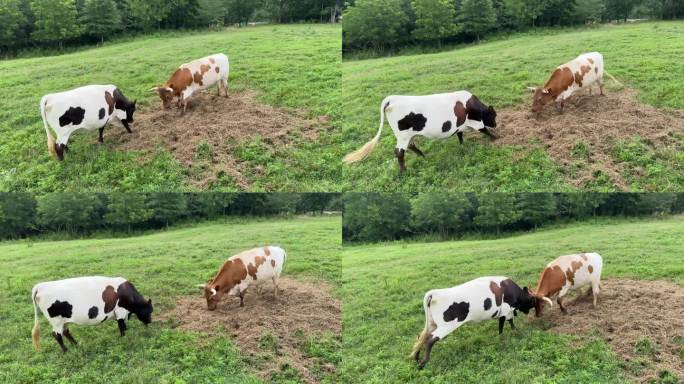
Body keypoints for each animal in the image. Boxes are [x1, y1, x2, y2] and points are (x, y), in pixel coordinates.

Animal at [342, 91, 496, 172]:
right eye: (493, 115)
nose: (495, 124)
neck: (470, 104)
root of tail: (392, 98)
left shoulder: (459, 126)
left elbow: (460, 135)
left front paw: (462, 145)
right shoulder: (476, 122)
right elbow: (485, 130)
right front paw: (496, 137)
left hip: (407, 135)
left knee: (411, 146)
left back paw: (422, 156)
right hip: (403, 135)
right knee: (399, 152)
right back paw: (403, 171)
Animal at [408, 276, 536, 368]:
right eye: (532, 300)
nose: (532, 309)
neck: (510, 289)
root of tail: (435, 293)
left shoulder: (503, 311)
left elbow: (502, 324)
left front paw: (502, 336)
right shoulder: (507, 310)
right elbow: (507, 321)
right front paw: (513, 332)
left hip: (432, 323)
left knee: (421, 337)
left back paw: (416, 358)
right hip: (446, 326)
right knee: (430, 339)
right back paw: (423, 363)